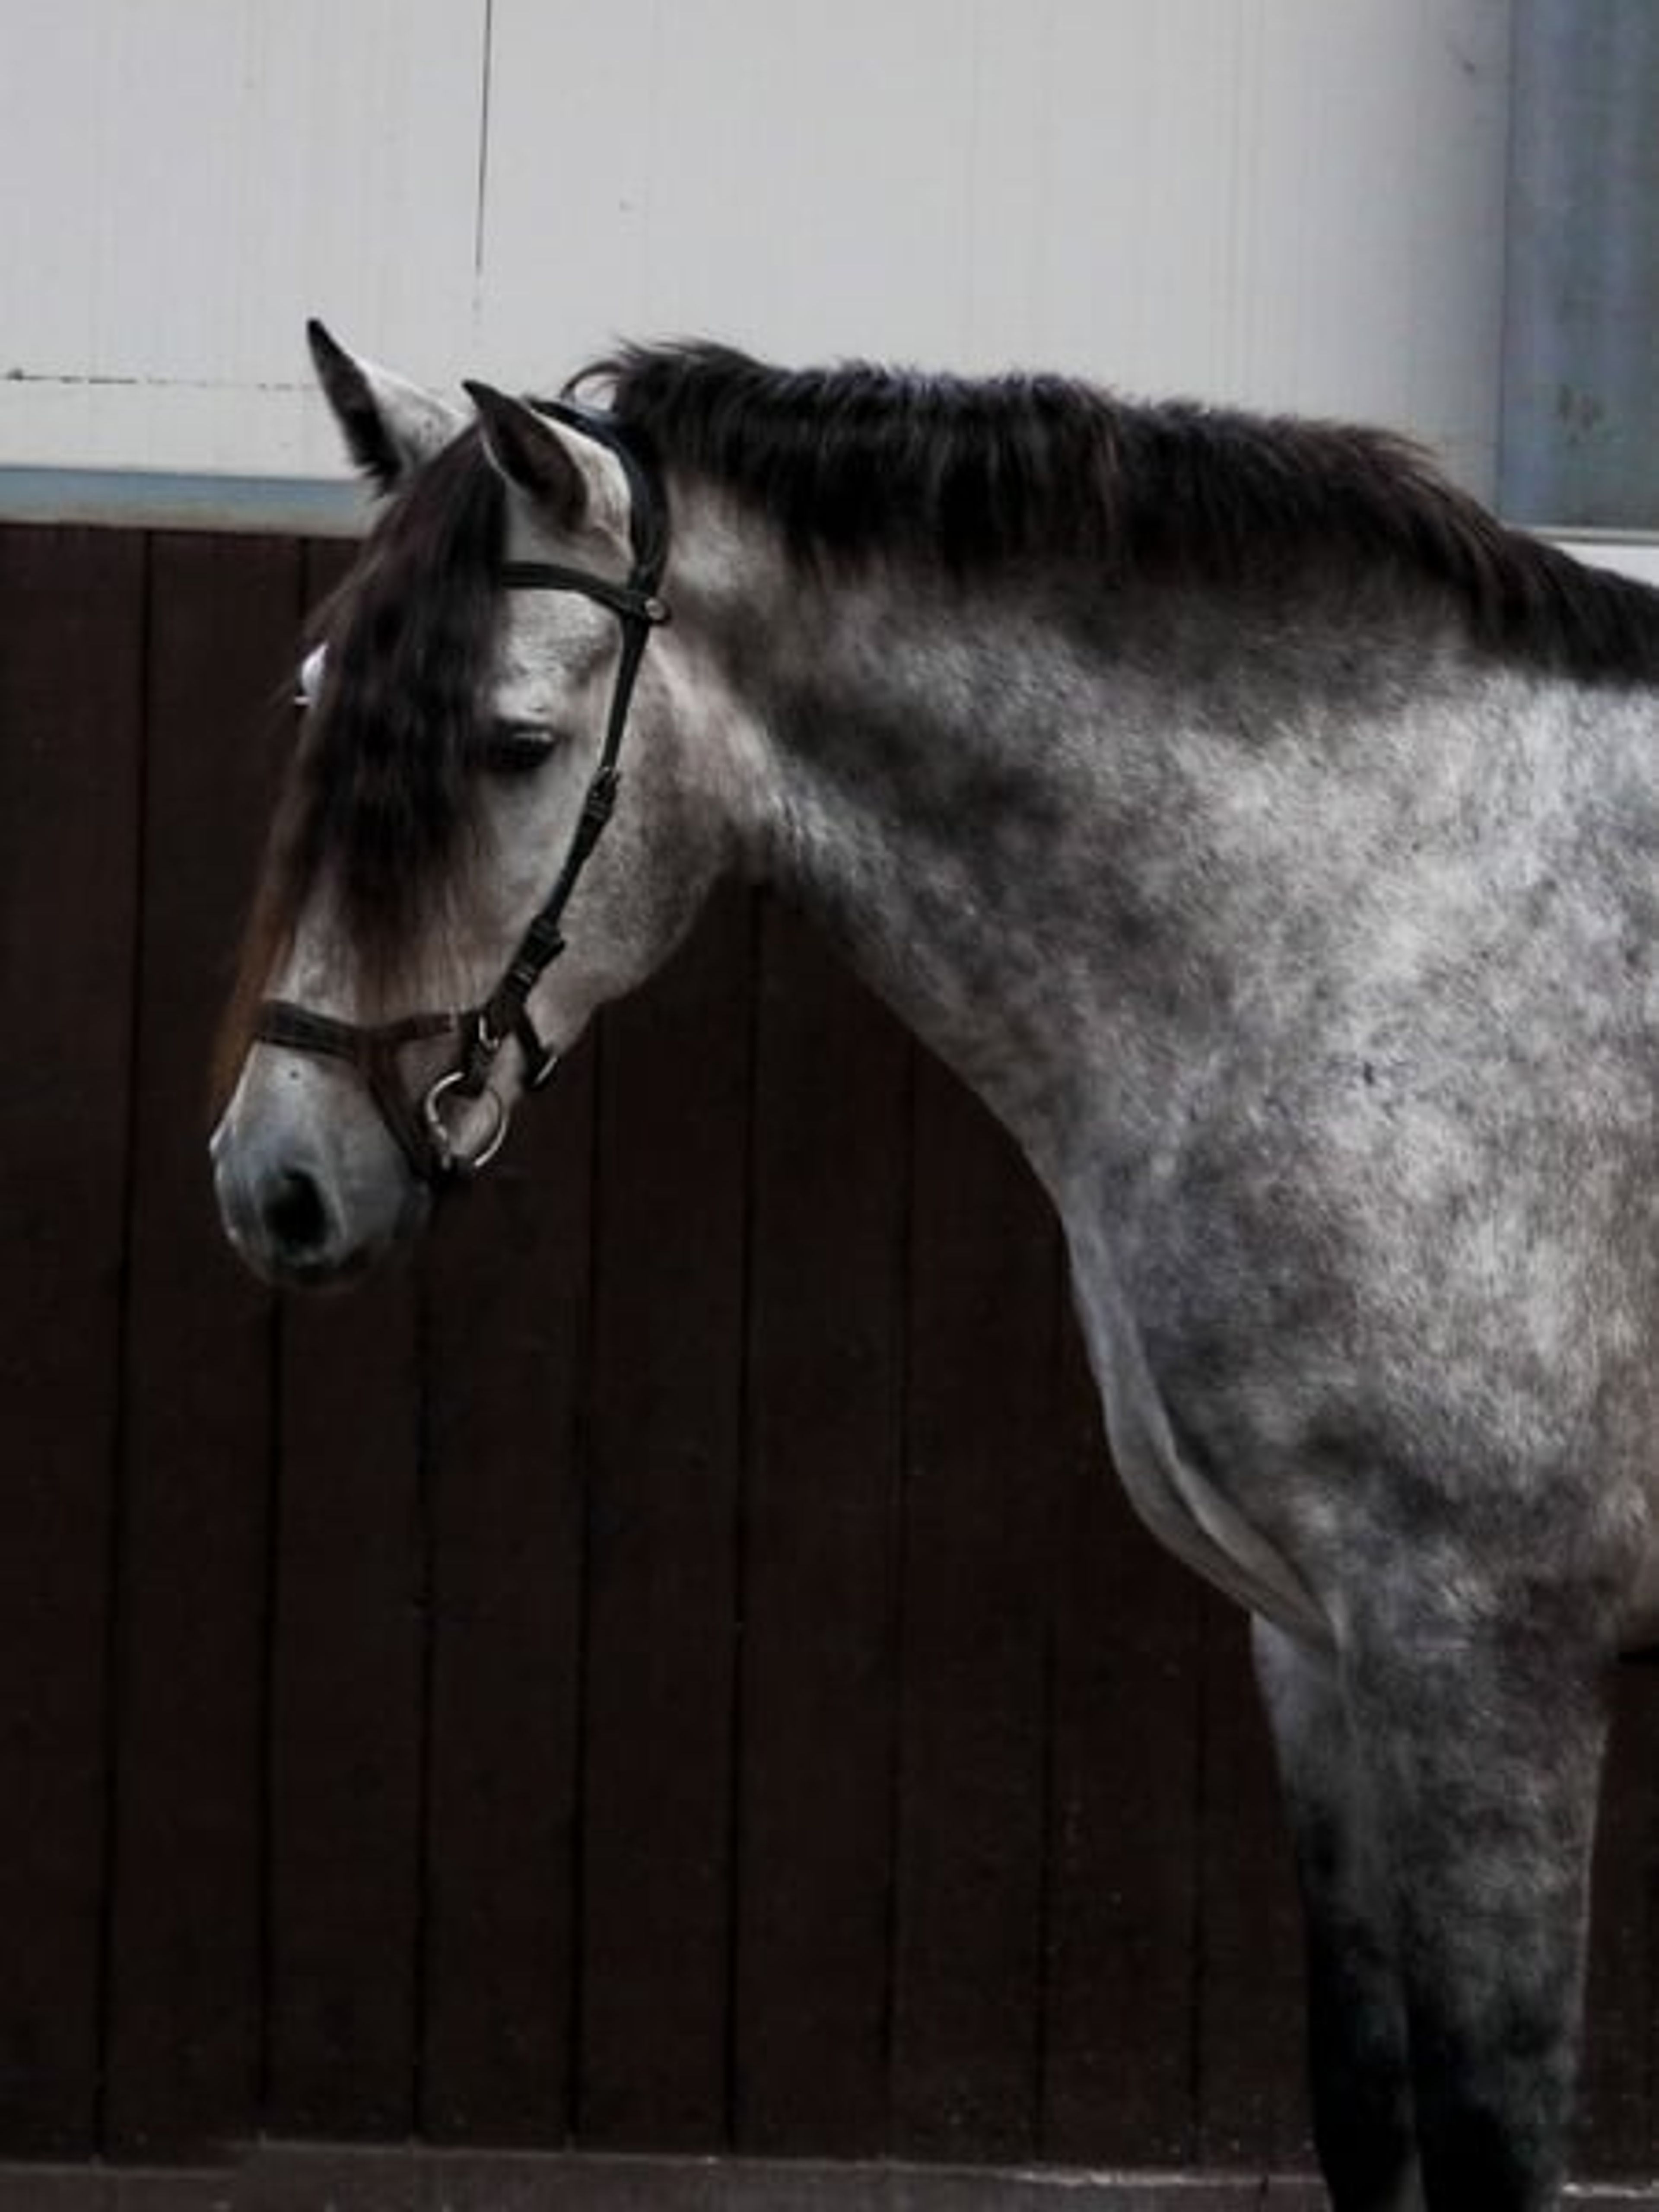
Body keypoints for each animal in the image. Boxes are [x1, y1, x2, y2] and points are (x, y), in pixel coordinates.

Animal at [211, 321, 1659, 2211]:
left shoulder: (1487, 1653)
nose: (280, 1181)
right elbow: (1370, 2112)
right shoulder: (1319, 1647)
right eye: (321, 701)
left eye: (517, 744)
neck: (1391, 929)